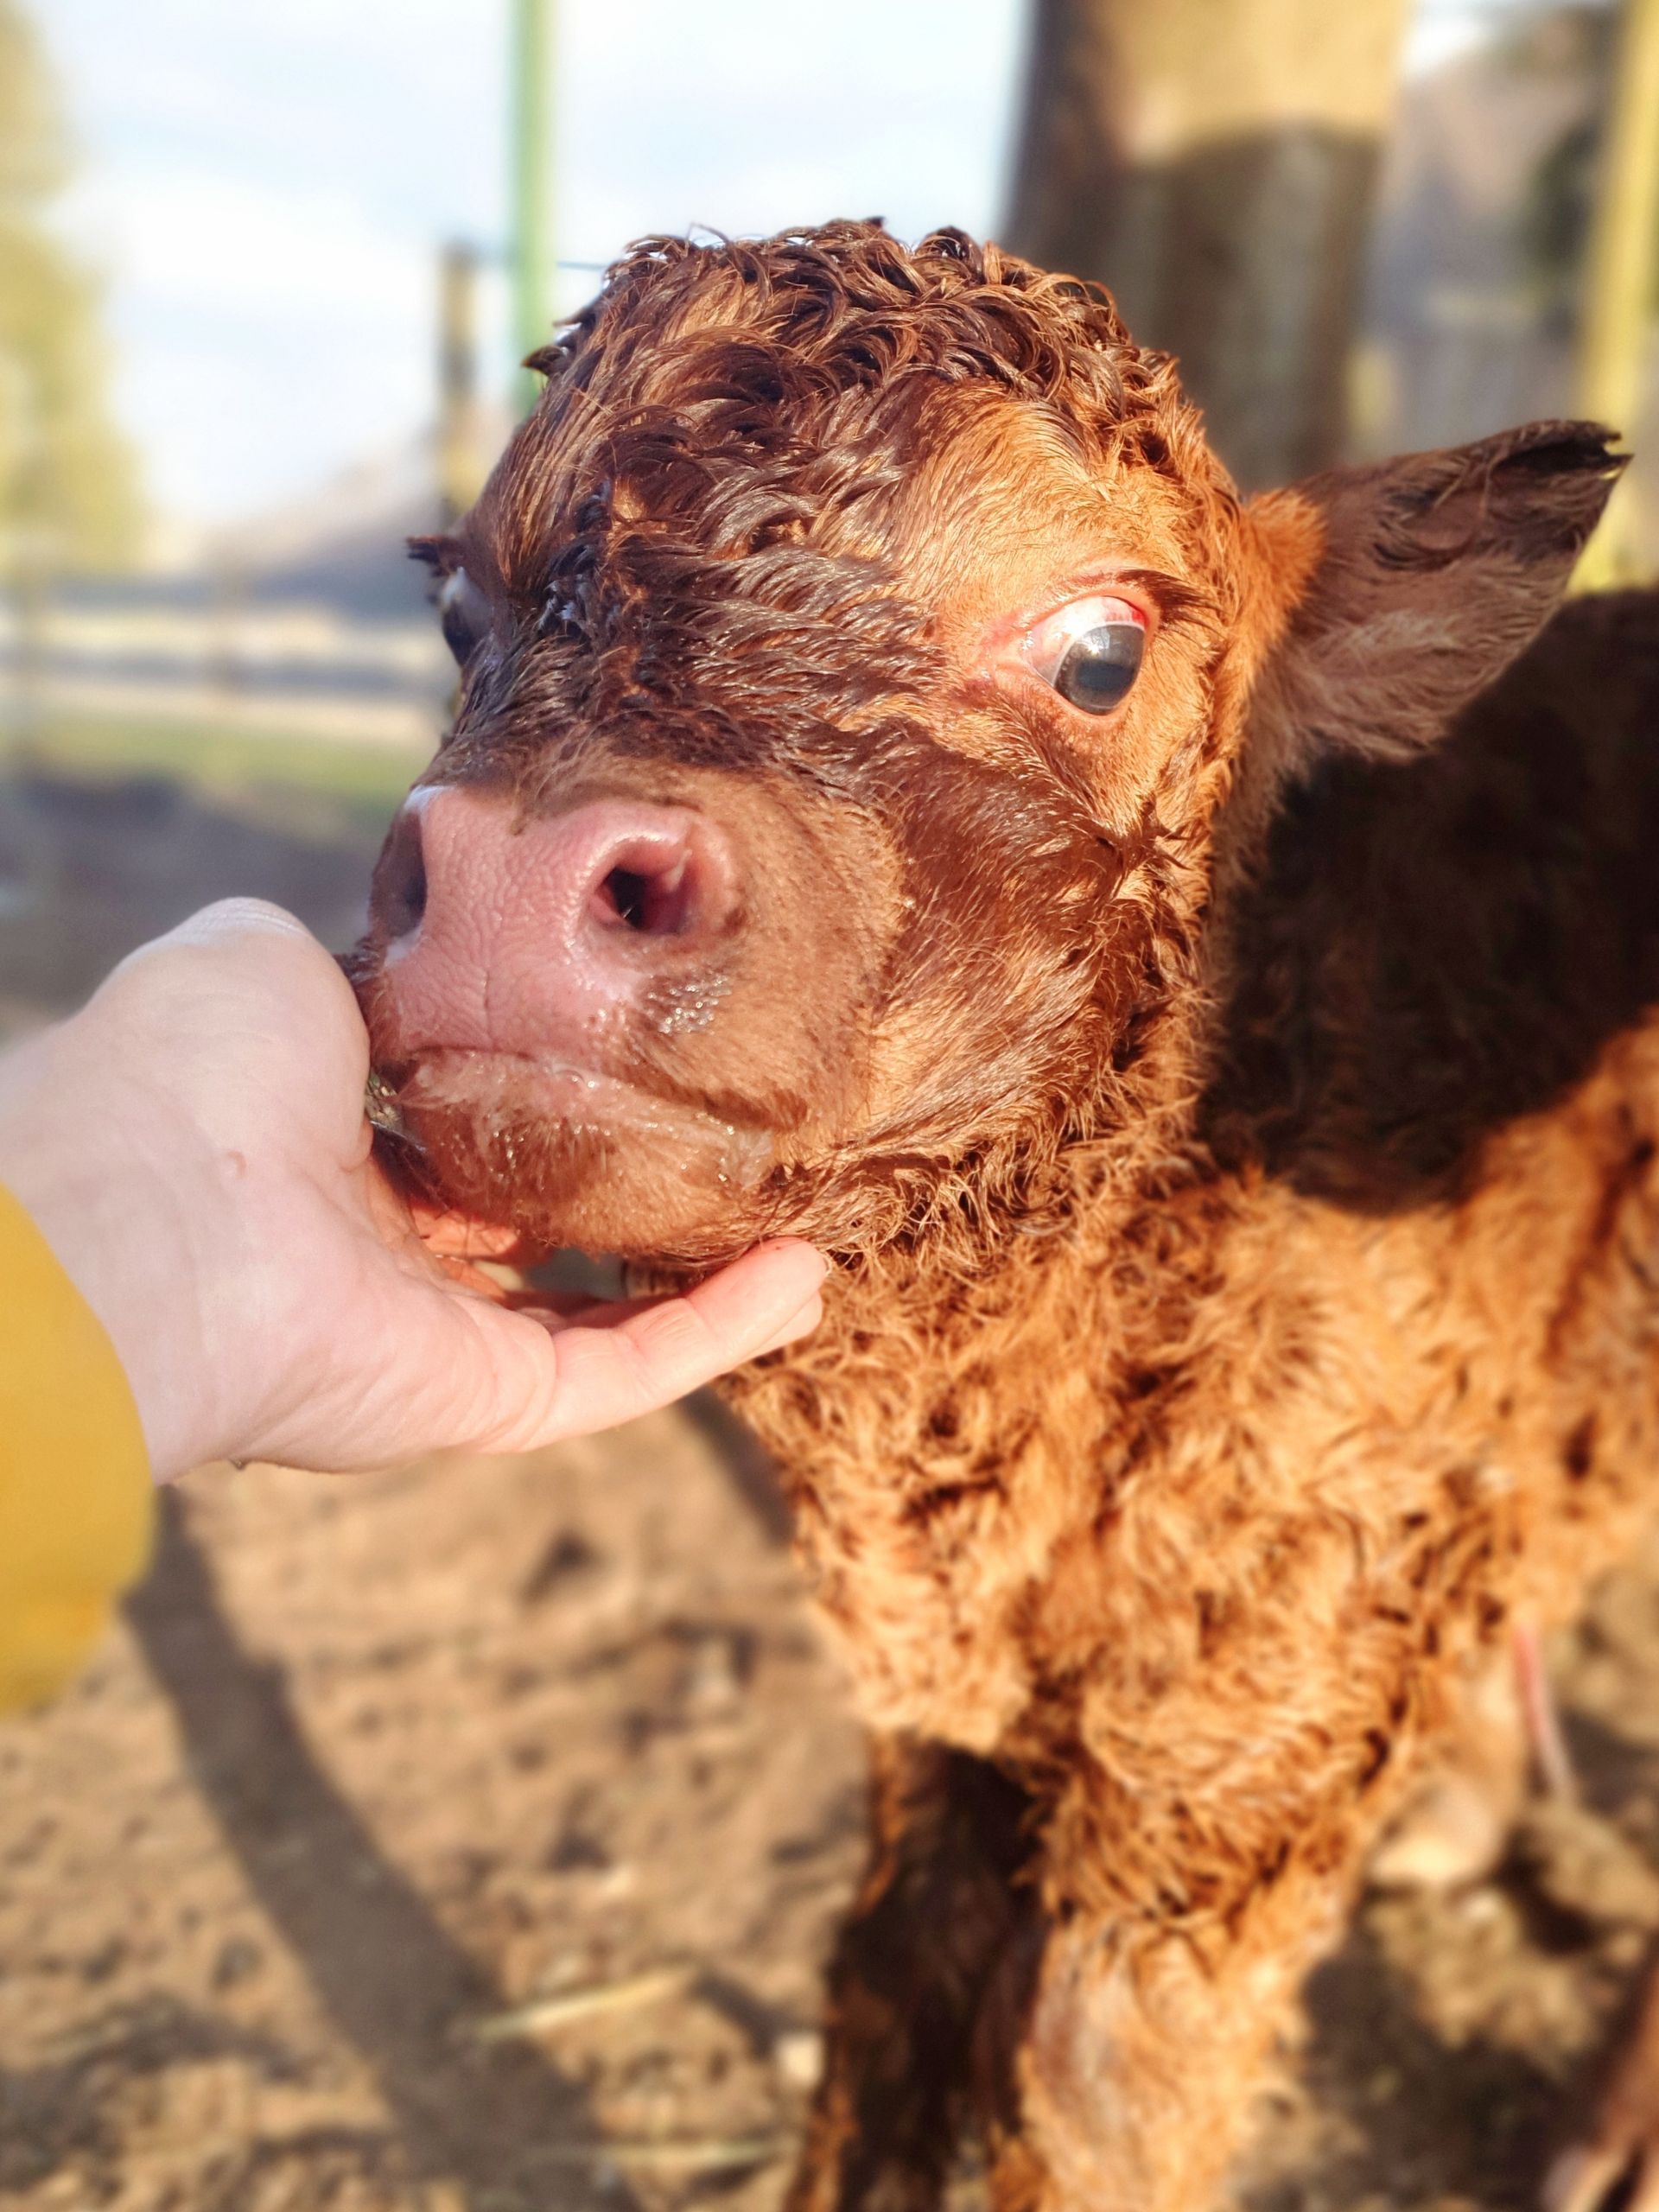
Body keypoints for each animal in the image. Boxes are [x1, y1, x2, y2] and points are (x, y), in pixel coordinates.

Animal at [348, 222, 1659, 2212]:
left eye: (1104, 649)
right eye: (461, 620)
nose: (508, 876)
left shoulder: (1235, 1758)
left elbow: (1096, 2110)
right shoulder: (934, 1713)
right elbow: (885, 2000)